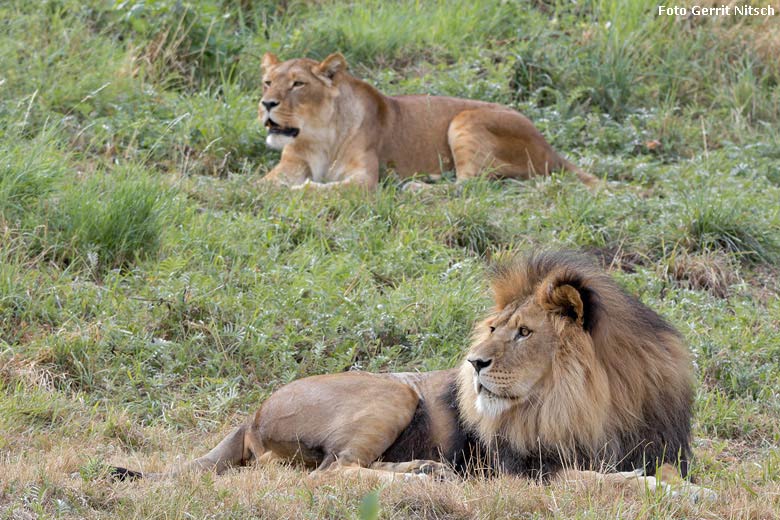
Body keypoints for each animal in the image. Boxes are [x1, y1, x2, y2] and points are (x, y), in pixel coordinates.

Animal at [112, 252, 708, 500]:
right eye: (494, 328)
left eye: (523, 333)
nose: (474, 363)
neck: (585, 400)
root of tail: (252, 412)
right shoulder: (521, 473)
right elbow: (600, 479)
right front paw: (659, 490)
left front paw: (681, 488)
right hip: (391, 389)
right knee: (331, 472)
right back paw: (419, 477)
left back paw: (424, 471)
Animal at [258, 52, 596, 190]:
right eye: (267, 82)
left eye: (297, 84)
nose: (266, 104)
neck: (318, 137)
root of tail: (549, 147)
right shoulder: (288, 167)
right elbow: (260, 186)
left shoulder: (364, 180)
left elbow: (323, 189)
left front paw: (300, 191)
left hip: (465, 119)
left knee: (470, 186)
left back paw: (418, 187)